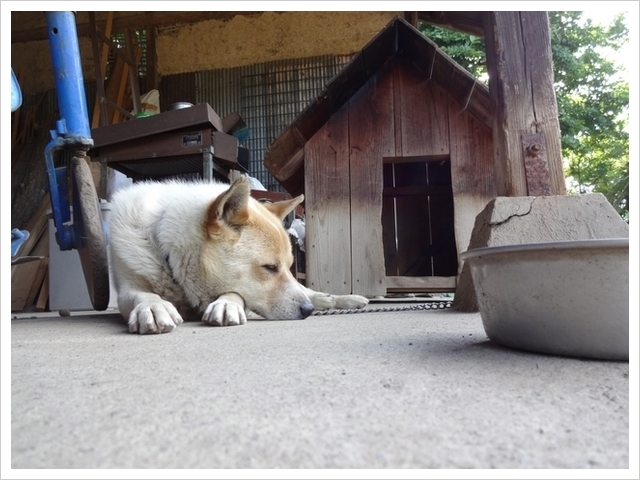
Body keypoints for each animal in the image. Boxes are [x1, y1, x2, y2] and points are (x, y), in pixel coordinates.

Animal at [107, 176, 368, 334]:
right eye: (270, 268)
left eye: (286, 266)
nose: (307, 311)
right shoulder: (127, 286)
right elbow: (142, 295)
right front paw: (152, 306)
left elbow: (236, 294)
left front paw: (226, 303)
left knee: (310, 292)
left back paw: (343, 300)